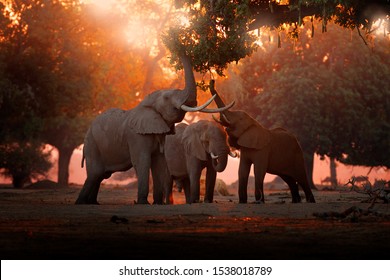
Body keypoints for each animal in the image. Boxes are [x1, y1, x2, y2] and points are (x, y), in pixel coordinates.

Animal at [74, 54, 232, 205]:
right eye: (167, 98)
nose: (213, 81)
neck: (147, 103)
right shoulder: (136, 136)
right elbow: (143, 161)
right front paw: (143, 203)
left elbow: (159, 163)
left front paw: (157, 203)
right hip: (92, 143)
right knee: (95, 173)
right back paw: (81, 203)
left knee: (100, 176)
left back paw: (93, 203)